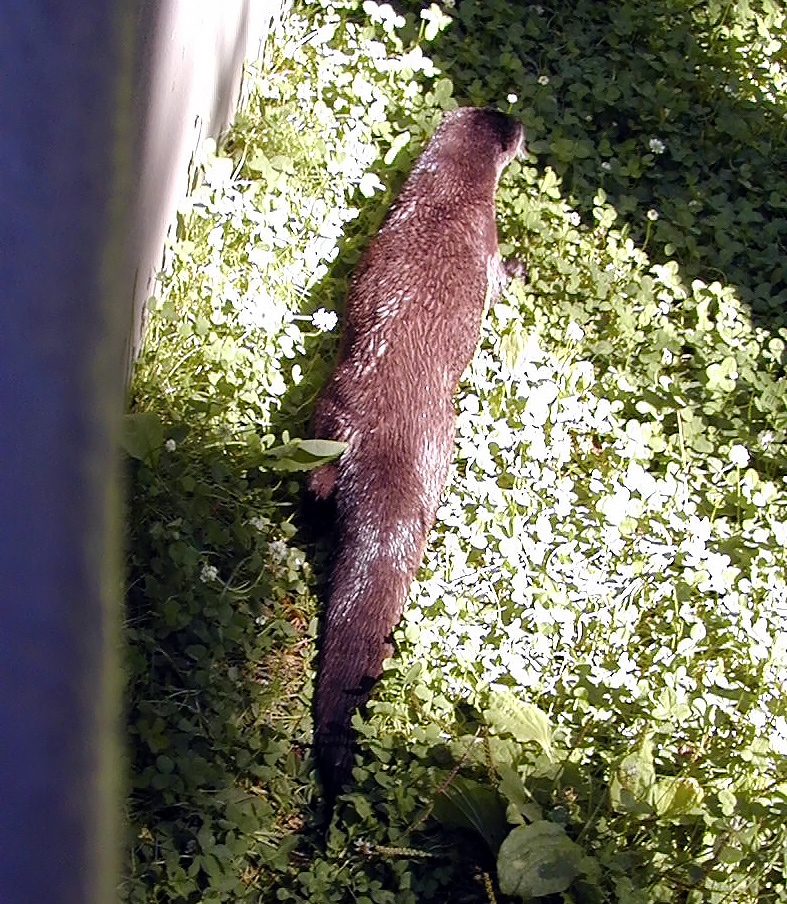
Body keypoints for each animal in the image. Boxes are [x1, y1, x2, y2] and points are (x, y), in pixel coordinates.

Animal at [309, 107, 525, 797]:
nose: (520, 125)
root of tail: (358, 446)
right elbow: (499, 276)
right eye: (509, 129)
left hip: (325, 419)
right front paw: (522, 271)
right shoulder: (486, 241)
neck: (443, 200)